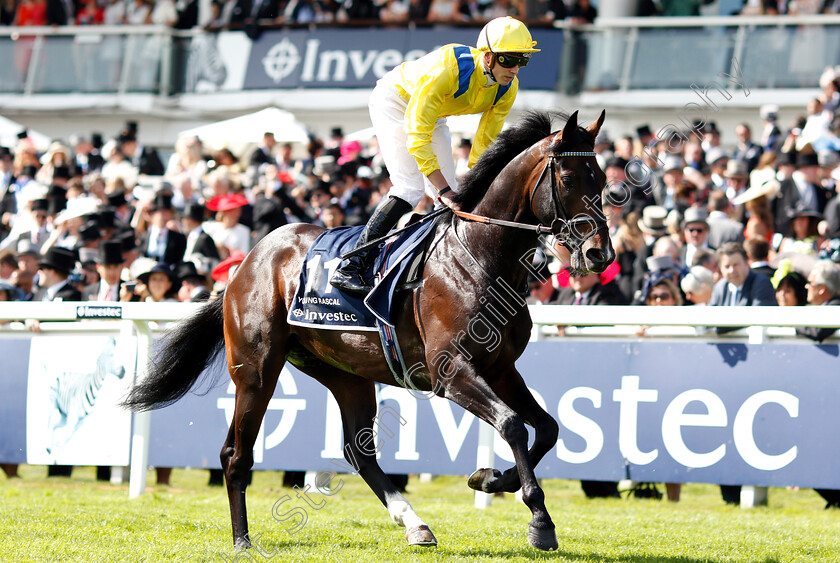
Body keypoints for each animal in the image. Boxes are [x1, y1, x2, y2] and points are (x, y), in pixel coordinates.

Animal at [124, 109, 612, 552]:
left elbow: (547, 427)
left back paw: (414, 523)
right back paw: (242, 540)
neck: (480, 257)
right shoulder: (452, 371)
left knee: (359, 452)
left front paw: (491, 478)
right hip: (257, 369)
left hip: (345, 372)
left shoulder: (500, 368)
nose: (599, 253)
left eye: (604, 179)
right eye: (569, 178)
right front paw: (539, 519)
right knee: (235, 454)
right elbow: (513, 425)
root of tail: (248, 261)